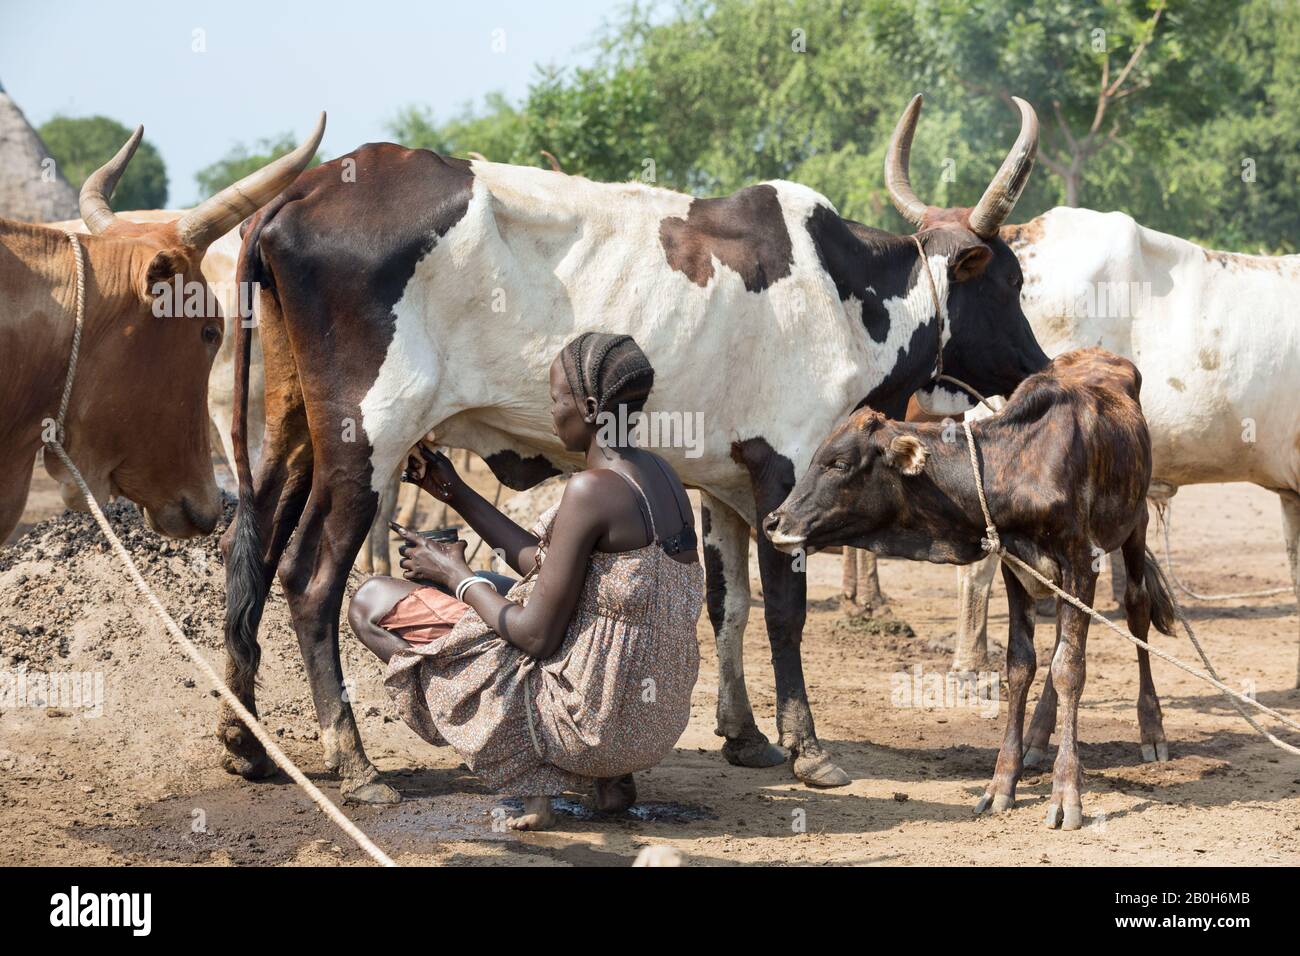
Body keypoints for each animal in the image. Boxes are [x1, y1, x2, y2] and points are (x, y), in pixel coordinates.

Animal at [218, 97, 1050, 806]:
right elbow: (784, 612)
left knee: (249, 556)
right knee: (311, 581)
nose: (1036, 365)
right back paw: (355, 764)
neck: (847, 292)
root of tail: (299, 195)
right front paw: (808, 749)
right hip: (368, 443)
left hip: (294, 436)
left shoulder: (726, 483)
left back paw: (246, 742)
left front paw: (744, 736)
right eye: (1008, 281)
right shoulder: (786, 466)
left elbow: (729, 606)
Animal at [764, 351, 1185, 832]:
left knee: (1135, 611)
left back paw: (1151, 729)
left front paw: (1066, 793)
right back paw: (1037, 738)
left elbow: (1070, 669)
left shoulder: (1082, 563)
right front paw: (1002, 782)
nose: (774, 522)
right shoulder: (1014, 566)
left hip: (1135, 527)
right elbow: (1023, 665)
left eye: (839, 464)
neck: (1019, 463)